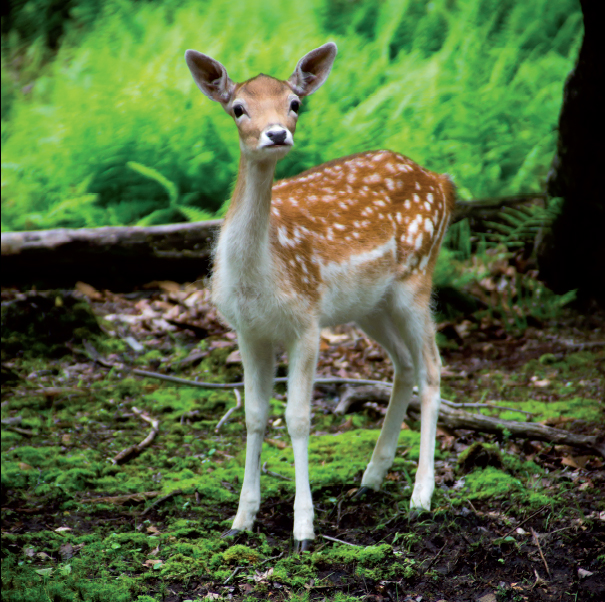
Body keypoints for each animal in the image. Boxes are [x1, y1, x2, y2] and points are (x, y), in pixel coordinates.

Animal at [184, 41, 452, 548]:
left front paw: (303, 529)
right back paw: (371, 477)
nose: (276, 134)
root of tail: (442, 181)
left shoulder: (305, 323)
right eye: (238, 108)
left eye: (295, 103)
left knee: (431, 368)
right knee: (404, 364)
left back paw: (420, 497)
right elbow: (254, 415)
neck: (259, 274)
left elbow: (298, 418)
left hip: (416, 277)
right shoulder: (247, 330)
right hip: (371, 305)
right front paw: (240, 520)